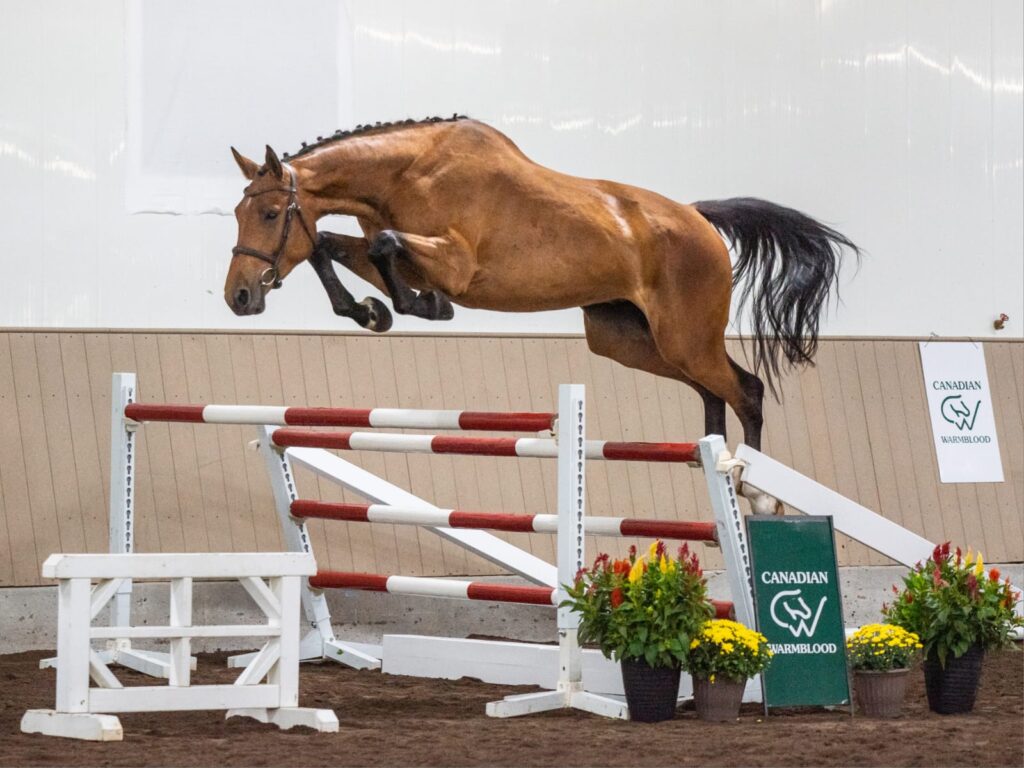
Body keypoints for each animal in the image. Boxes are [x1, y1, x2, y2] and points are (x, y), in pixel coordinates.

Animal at [226, 116, 856, 454]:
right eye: (238, 212)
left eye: (268, 215)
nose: (239, 297)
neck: (406, 174)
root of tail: (698, 218)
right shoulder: (394, 249)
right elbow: (330, 246)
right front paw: (371, 311)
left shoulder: (455, 263)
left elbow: (384, 248)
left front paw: (423, 306)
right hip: (629, 340)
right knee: (712, 393)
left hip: (685, 338)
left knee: (746, 390)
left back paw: (753, 491)